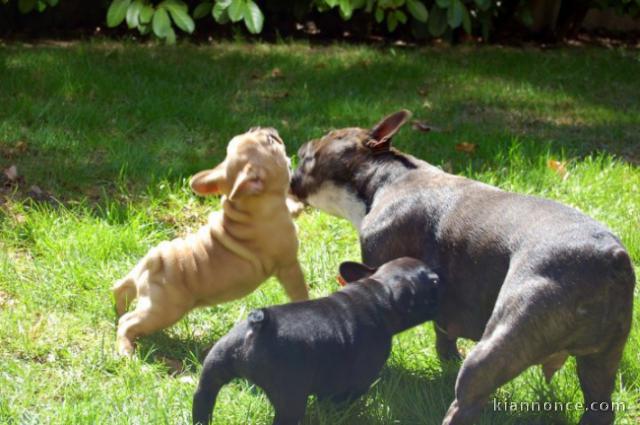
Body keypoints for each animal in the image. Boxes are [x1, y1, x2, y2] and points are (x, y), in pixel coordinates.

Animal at [190, 255, 440, 424]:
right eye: (434, 282)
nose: (442, 279)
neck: (377, 293)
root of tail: (257, 326)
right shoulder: (356, 381)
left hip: (212, 371)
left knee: (203, 401)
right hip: (289, 398)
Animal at [290, 110, 636, 424]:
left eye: (327, 138)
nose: (303, 144)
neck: (386, 177)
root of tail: (611, 259)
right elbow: (442, 330)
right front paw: (446, 358)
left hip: (506, 335)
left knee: (468, 398)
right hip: (602, 357)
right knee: (599, 403)